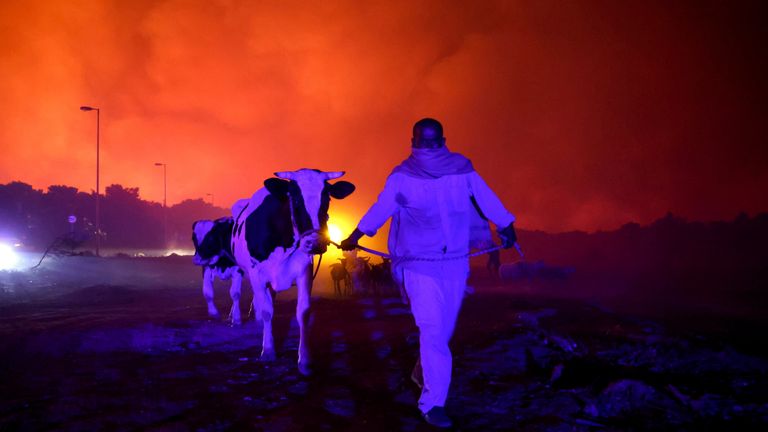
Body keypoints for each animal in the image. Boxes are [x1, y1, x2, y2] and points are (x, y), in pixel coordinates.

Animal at [231, 169, 356, 374]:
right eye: (295, 200)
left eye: (327, 200)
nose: (315, 243)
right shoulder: (258, 274)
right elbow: (267, 311)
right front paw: (268, 351)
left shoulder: (305, 271)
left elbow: (303, 312)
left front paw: (304, 359)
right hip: (240, 270)